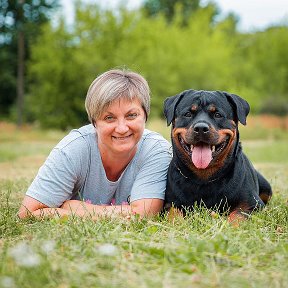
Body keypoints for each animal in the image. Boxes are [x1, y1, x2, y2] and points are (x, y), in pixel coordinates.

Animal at [164, 90, 272, 223]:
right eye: (188, 114)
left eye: (218, 115)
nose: (201, 128)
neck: (203, 177)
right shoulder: (170, 203)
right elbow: (174, 214)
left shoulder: (252, 204)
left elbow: (237, 216)